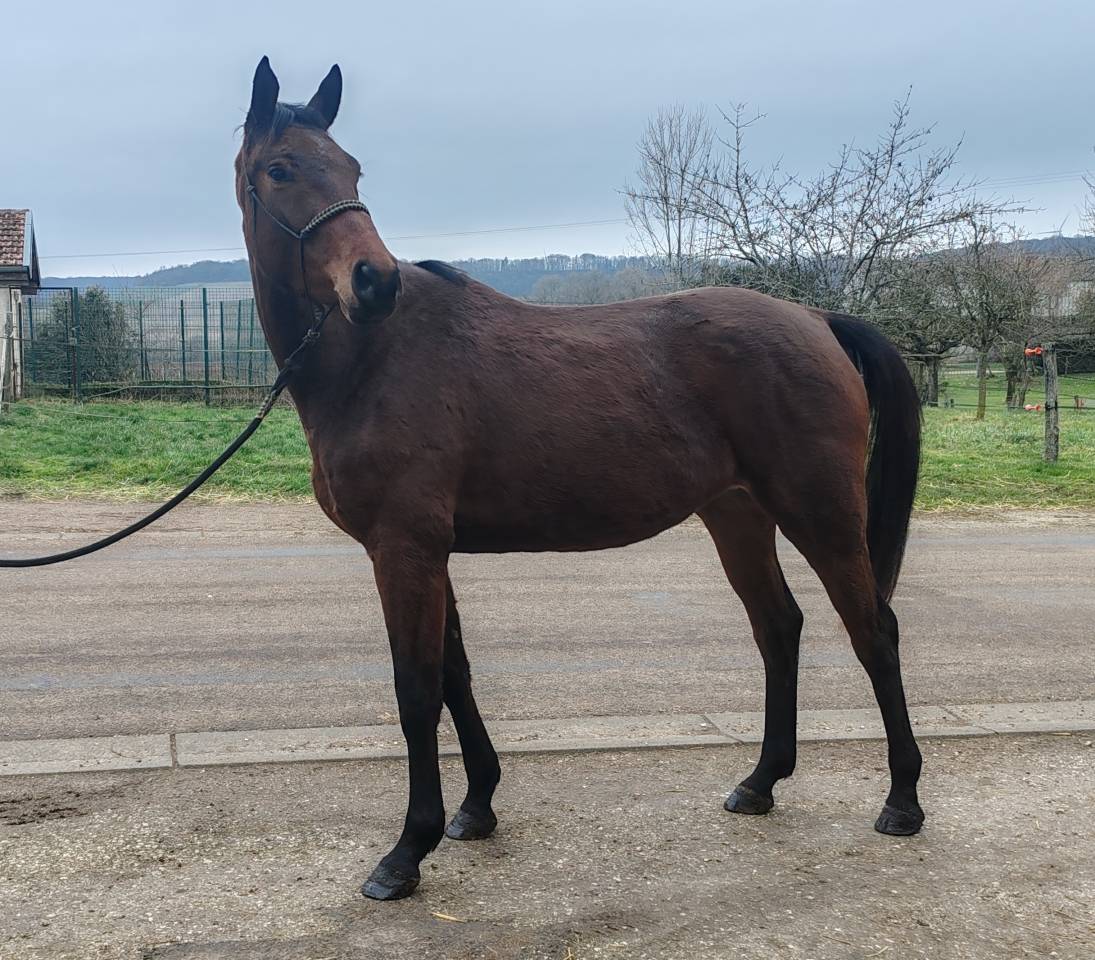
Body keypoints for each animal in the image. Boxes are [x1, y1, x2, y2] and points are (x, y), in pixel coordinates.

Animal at [236, 57, 924, 901]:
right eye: (279, 168)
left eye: (352, 168)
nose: (374, 282)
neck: (374, 359)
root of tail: (816, 320)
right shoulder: (430, 552)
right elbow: (455, 674)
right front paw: (476, 806)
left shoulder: (403, 549)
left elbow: (416, 689)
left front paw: (406, 851)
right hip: (737, 514)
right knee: (778, 627)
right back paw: (760, 782)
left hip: (818, 511)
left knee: (872, 631)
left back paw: (902, 799)